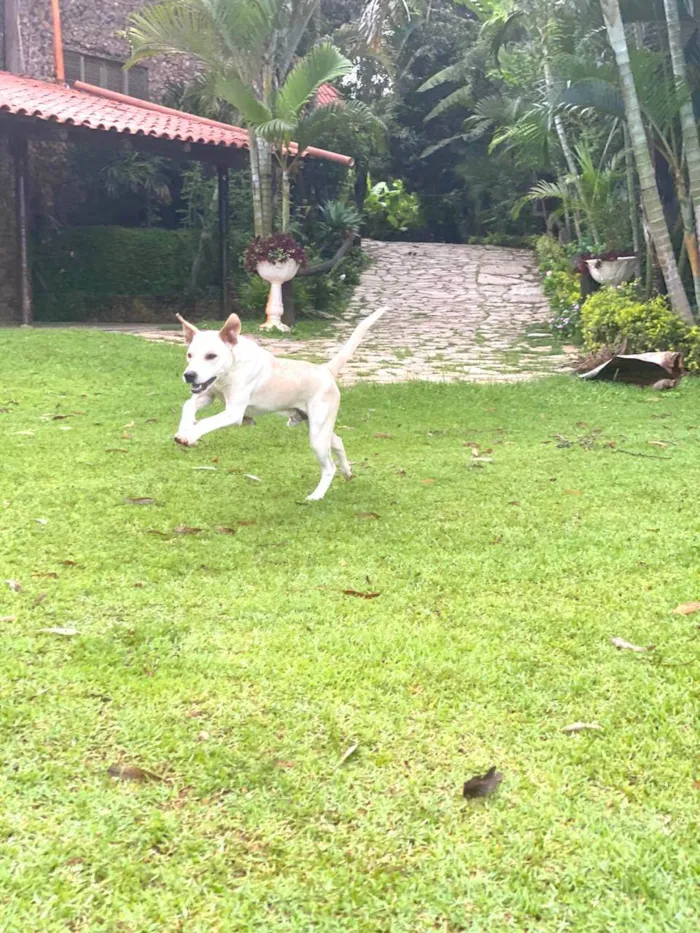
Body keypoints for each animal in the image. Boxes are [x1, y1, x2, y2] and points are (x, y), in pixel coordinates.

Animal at [173, 310, 386, 498]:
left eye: (211, 355)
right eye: (190, 355)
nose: (189, 375)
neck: (230, 369)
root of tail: (326, 370)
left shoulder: (234, 412)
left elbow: (205, 422)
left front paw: (189, 436)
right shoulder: (207, 395)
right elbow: (187, 406)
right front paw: (184, 429)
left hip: (317, 435)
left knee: (329, 467)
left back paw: (316, 495)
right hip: (318, 427)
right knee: (339, 442)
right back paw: (347, 471)